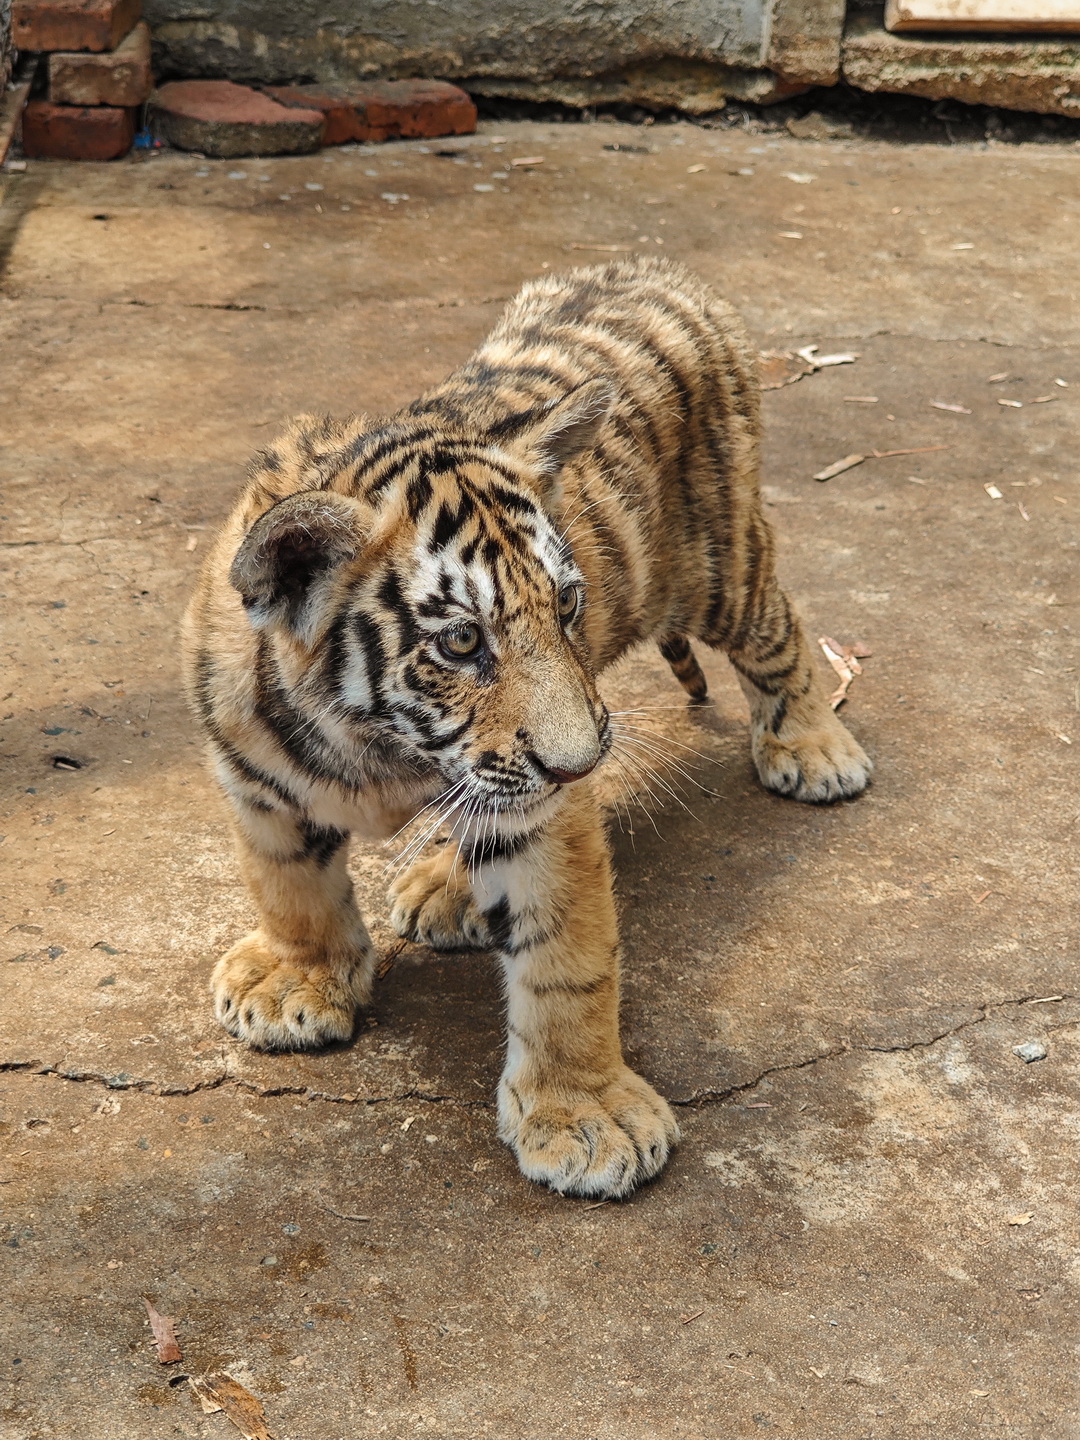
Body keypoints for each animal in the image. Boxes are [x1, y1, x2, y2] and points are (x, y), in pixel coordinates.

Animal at [181, 255, 871, 1200]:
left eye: (567, 605)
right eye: (462, 641)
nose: (582, 765)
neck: (372, 745)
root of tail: (659, 267)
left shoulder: (544, 815)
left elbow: (566, 963)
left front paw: (586, 1115)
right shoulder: (254, 779)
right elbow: (286, 881)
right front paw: (297, 979)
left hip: (717, 564)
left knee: (779, 629)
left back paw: (814, 748)